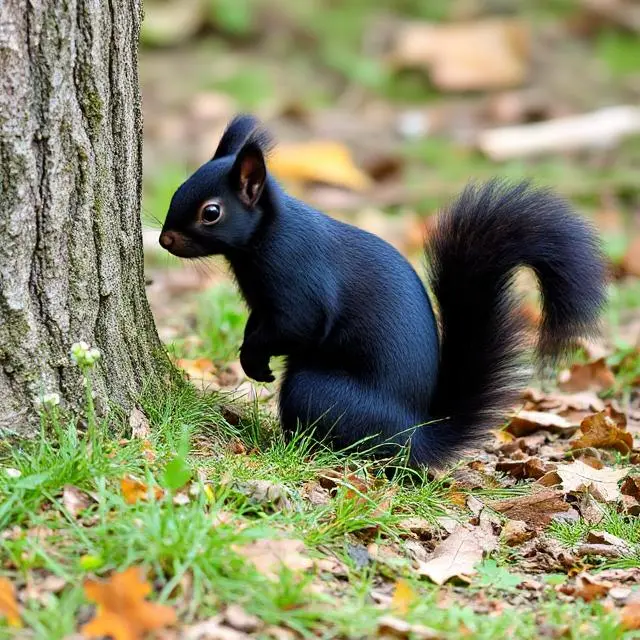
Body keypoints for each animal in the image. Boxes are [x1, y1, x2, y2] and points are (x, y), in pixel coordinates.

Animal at [160, 114, 604, 464]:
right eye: (177, 188)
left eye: (211, 212)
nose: (164, 239)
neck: (266, 235)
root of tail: (413, 436)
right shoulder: (261, 303)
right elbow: (258, 323)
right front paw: (249, 354)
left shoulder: (298, 279)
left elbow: (297, 327)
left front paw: (253, 359)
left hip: (316, 390)